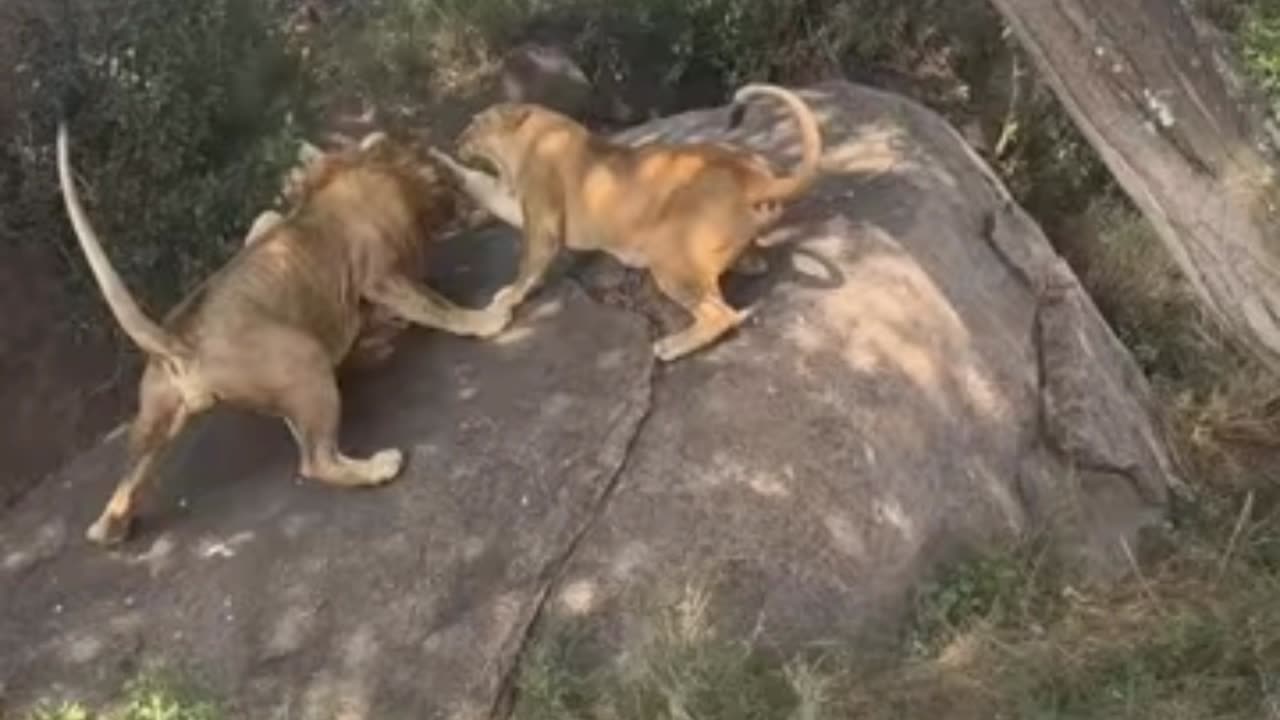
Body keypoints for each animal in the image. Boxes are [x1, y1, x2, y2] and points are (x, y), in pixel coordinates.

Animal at [56, 121, 504, 543]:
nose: (464, 193)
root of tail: (179, 341)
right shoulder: (380, 276)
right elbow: (437, 308)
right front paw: (486, 318)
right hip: (302, 356)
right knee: (316, 460)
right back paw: (379, 466)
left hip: (156, 417)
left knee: (126, 483)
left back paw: (109, 529)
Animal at [435, 83, 824, 361]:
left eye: (473, 123)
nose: (456, 140)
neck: (533, 132)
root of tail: (753, 177)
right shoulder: (517, 202)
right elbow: (481, 186)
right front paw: (439, 162)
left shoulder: (543, 224)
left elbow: (527, 266)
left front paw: (503, 303)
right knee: (745, 271)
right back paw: (749, 262)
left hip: (669, 257)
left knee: (721, 315)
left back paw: (670, 347)